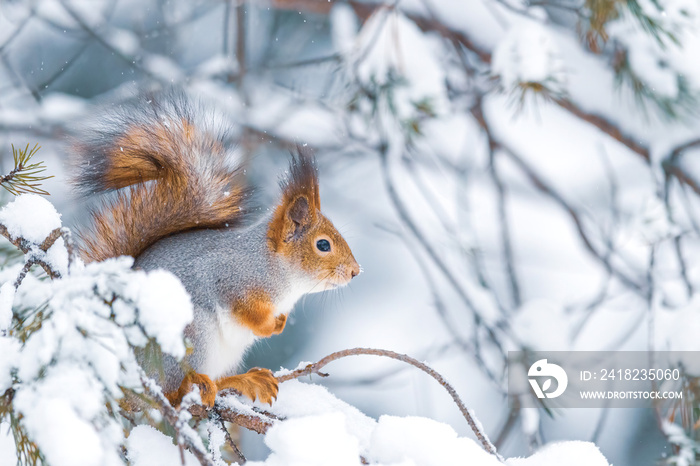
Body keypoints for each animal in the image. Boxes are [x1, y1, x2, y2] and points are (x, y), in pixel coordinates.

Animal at [73, 95, 360, 408]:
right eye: (323, 245)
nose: (356, 272)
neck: (276, 272)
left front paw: (280, 323)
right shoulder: (227, 275)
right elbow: (244, 310)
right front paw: (267, 326)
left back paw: (246, 380)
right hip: (192, 335)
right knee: (170, 390)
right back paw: (195, 384)